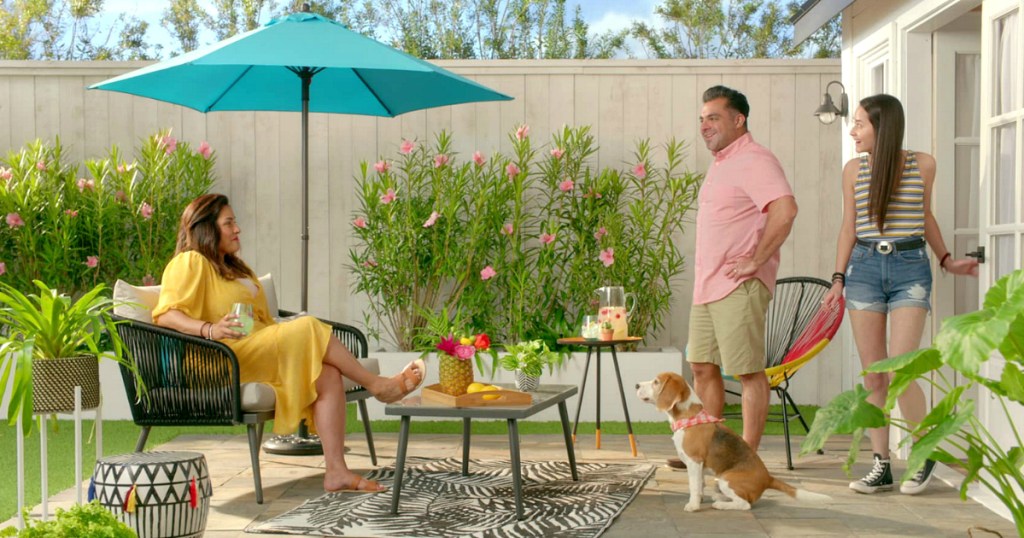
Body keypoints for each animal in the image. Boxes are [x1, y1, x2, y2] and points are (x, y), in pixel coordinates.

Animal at [630, 370, 831, 510]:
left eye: (656, 382)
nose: (636, 385)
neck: (689, 416)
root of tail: (768, 478)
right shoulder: (698, 466)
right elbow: (699, 485)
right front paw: (699, 500)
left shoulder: (694, 462)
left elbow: (693, 486)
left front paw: (693, 506)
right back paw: (720, 498)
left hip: (726, 479)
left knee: (745, 505)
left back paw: (721, 504)